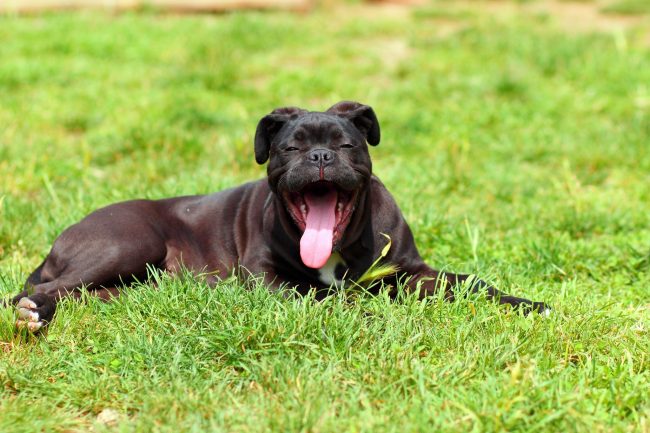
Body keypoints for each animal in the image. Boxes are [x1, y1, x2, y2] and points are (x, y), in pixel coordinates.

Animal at [10, 101, 548, 330]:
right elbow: (324, 298)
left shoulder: (413, 272)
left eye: (345, 145)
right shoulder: (266, 278)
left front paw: (526, 303)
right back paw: (33, 312)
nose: (319, 157)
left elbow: (473, 283)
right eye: (291, 147)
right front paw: (373, 314)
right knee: (41, 289)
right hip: (128, 241)